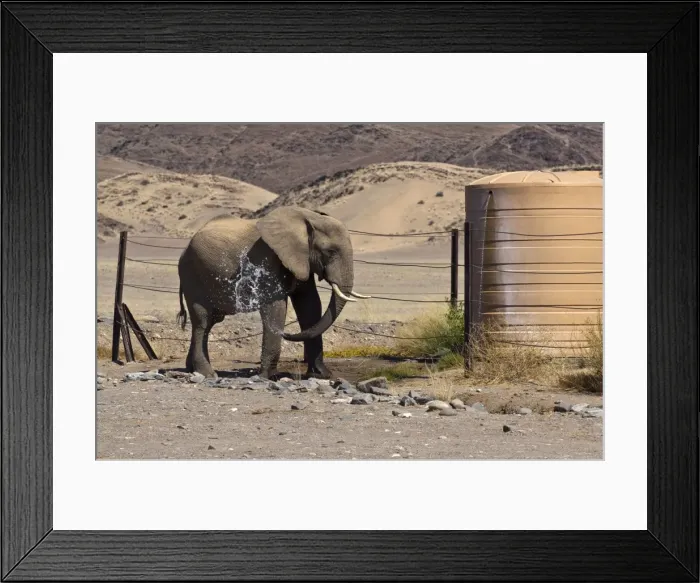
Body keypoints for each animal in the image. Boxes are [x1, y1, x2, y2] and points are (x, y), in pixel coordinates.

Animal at [176, 206, 370, 379]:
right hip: (192, 276)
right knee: (202, 322)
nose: (287, 334)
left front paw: (322, 375)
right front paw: (268, 377)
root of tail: (184, 251)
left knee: (209, 322)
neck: (308, 217)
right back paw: (208, 374)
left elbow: (310, 304)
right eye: (330, 251)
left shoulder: (301, 260)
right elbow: (276, 307)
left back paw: (191, 369)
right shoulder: (266, 258)